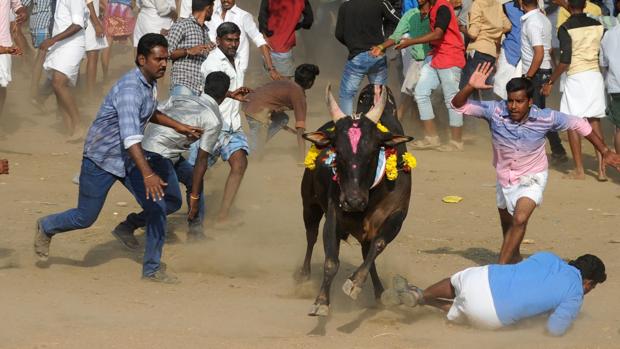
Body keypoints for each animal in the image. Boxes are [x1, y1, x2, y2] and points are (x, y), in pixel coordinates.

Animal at [300, 84, 412, 316]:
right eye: (338, 151)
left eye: (372, 151)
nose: (353, 201)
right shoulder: (333, 214)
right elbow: (331, 261)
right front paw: (321, 301)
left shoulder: (397, 215)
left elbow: (377, 246)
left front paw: (356, 282)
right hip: (309, 205)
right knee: (311, 236)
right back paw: (304, 276)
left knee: (367, 252)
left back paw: (378, 292)